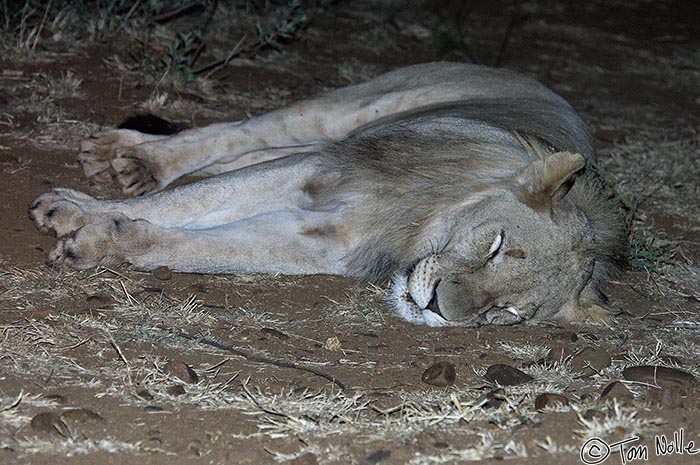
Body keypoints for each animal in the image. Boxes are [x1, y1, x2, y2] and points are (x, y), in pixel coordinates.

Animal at [30, 61, 628, 326]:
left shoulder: (325, 240)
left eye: (508, 313)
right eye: (496, 247)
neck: (423, 226)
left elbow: (206, 246)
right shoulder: (318, 172)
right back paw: (134, 159)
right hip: (348, 111)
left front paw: (107, 241)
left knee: (239, 154)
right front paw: (78, 212)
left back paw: (129, 162)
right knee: (232, 135)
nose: (437, 307)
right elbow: (183, 205)